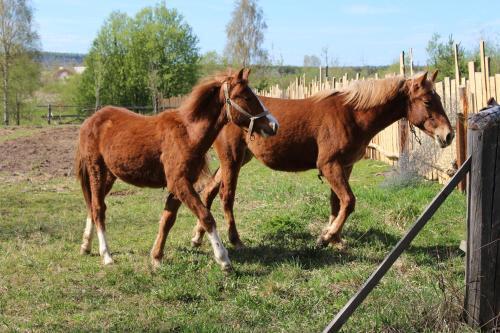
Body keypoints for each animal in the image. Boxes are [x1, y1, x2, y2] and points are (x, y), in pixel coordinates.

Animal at [74, 68, 280, 270]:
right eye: (246, 97)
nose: (274, 125)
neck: (188, 134)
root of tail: (90, 120)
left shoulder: (179, 185)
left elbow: (167, 220)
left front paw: (156, 257)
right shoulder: (180, 183)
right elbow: (206, 216)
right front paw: (223, 259)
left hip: (110, 175)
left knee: (92, 206)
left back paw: (85, 246)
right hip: (97, 170)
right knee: (98, 209)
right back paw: (106, 255)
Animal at [190, 71, 454, 248]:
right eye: (428, 101)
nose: (448, 135)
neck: (352, 114)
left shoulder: (344, 166)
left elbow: (337, 203)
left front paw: (335, 238)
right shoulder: (329, 166)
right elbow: (349, 201)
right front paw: (325, 237)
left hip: (239, 159)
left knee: (208, 192)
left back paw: (198, 236)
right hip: (232, 159)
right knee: (225, 196)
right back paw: (235, 240)